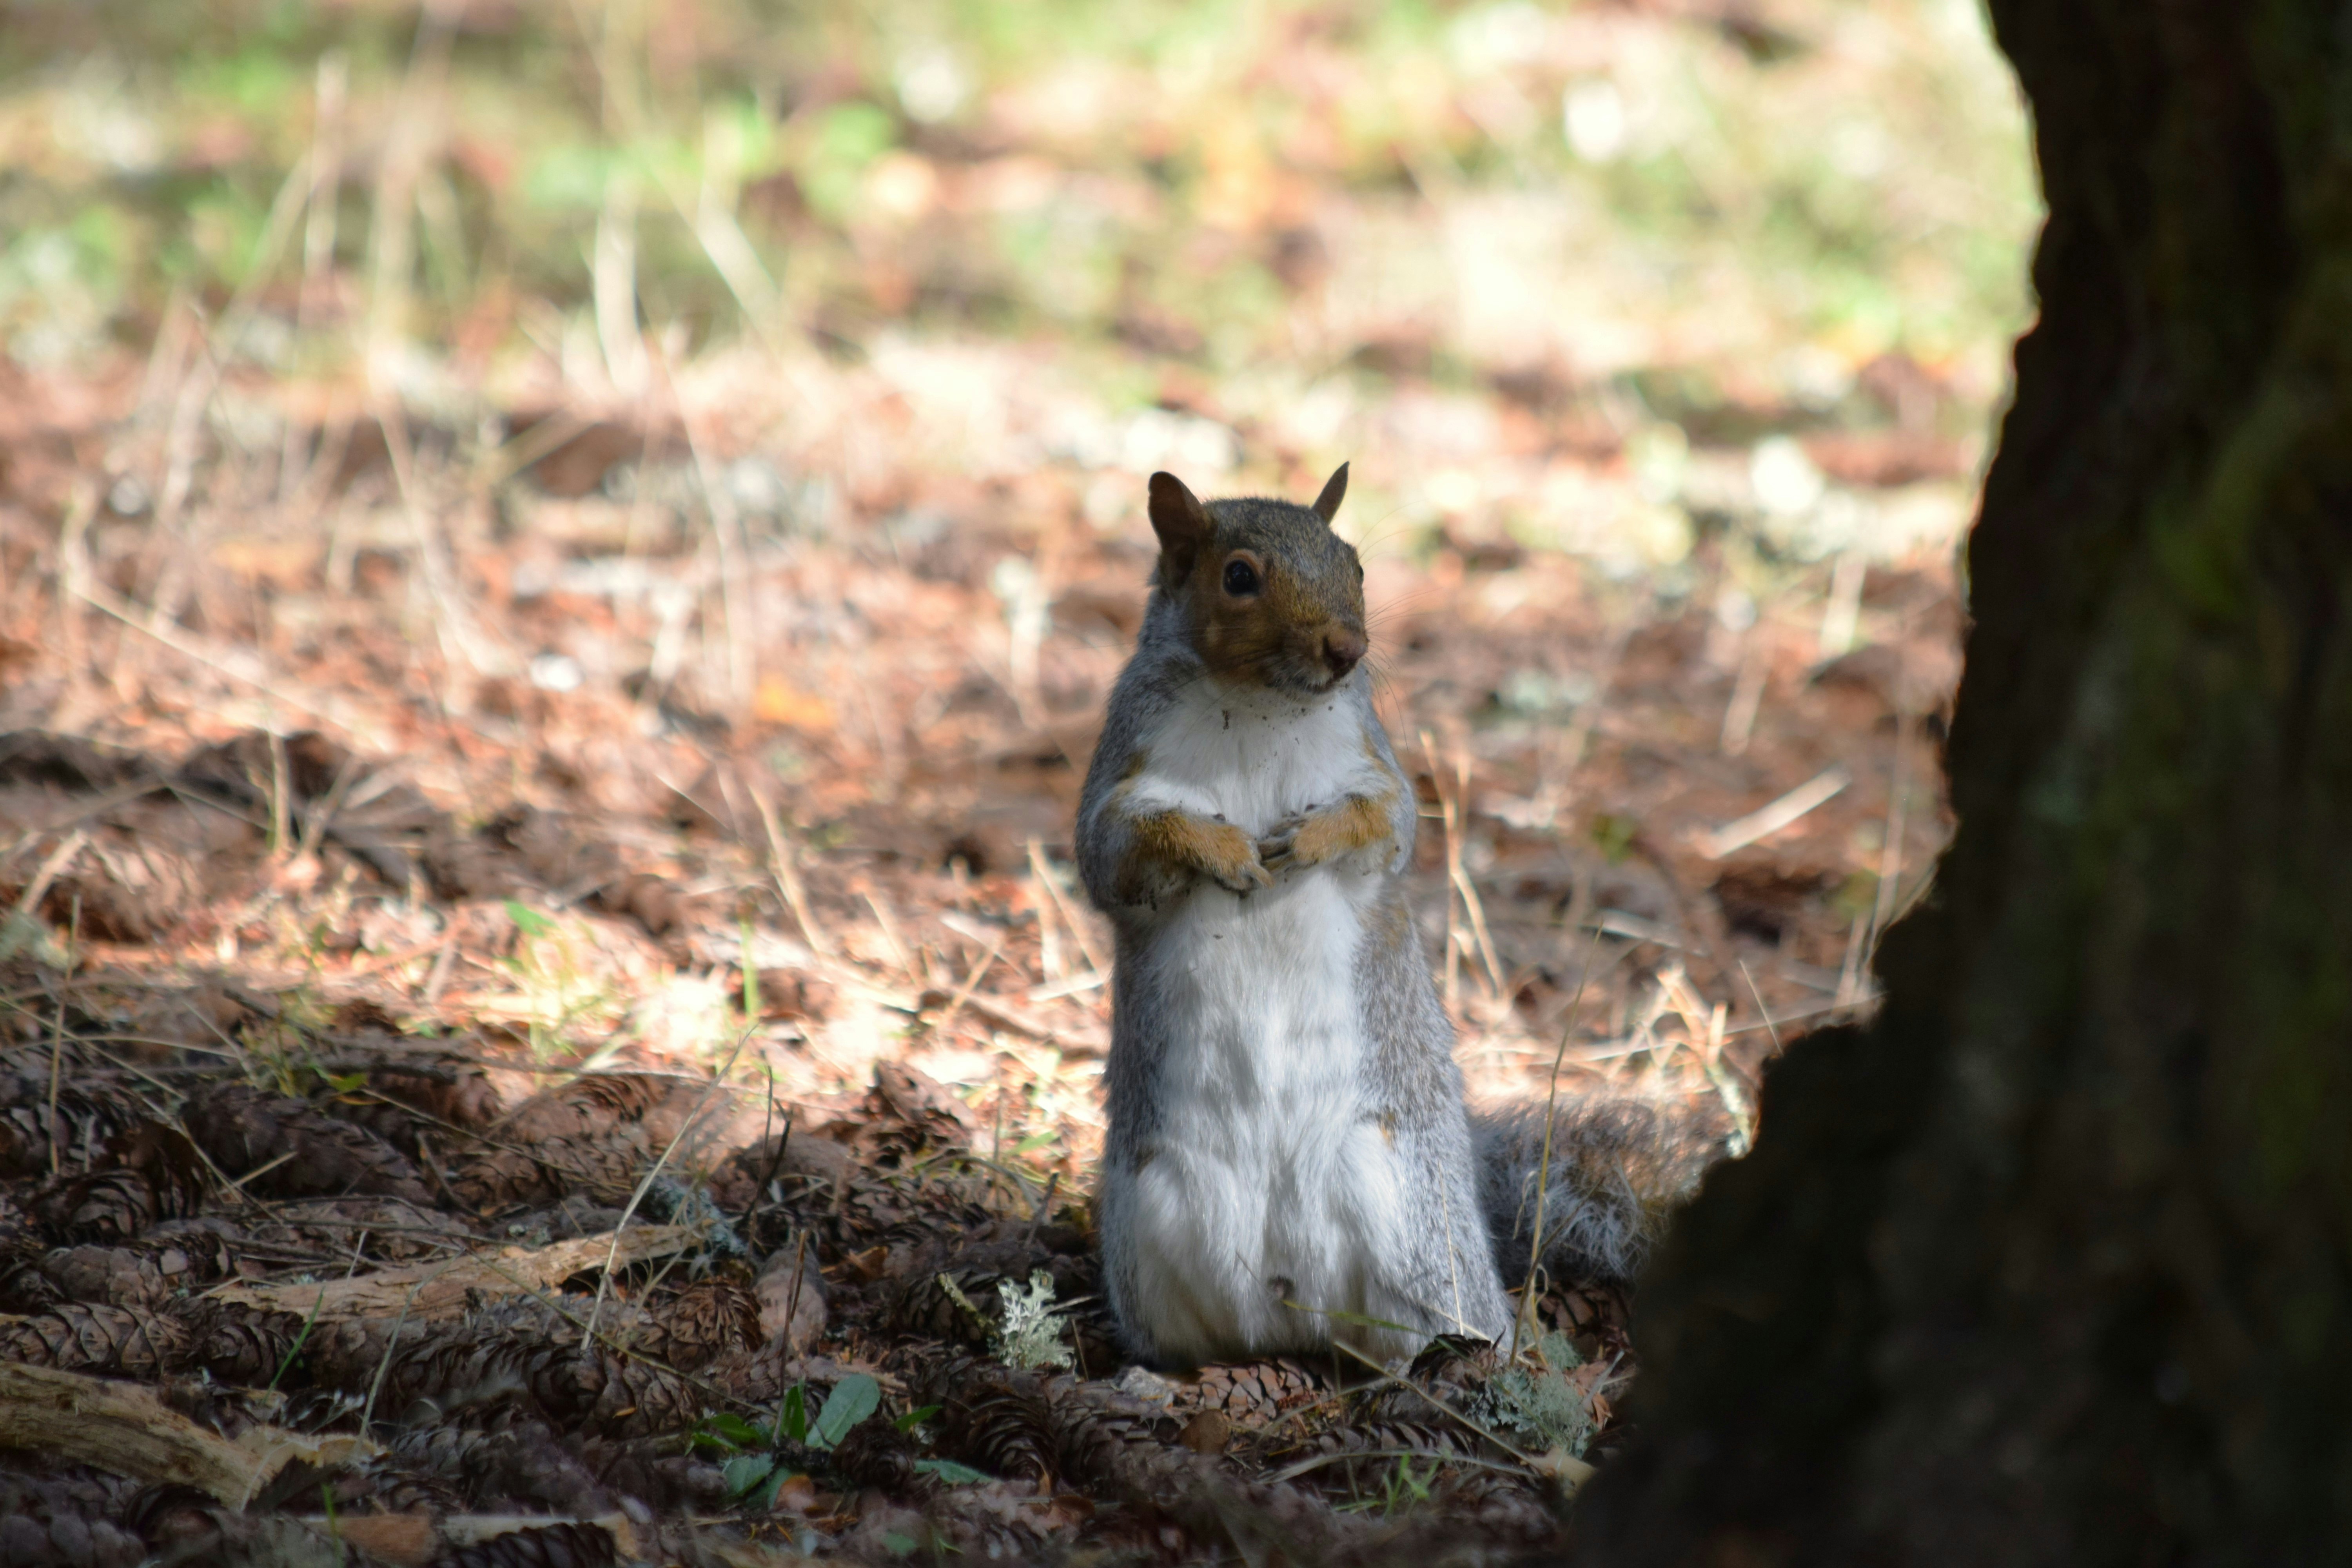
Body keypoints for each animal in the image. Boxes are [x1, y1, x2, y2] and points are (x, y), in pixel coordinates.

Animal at [1076, 464, 1720, 1369]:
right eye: (1238, 576)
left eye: (1355, 564)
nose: (1347, 650)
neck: (1256, 707)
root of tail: (1291, 1312)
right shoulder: (1121, 774)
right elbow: (1111, 859)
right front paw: (1221, 849)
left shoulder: (1375, 767)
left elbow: (1389, 826)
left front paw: (1310, 838)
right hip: (1152, 1232)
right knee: (1196, 1343)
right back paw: (1160, 1378)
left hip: (1409, 1229)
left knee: (1421, 1330)